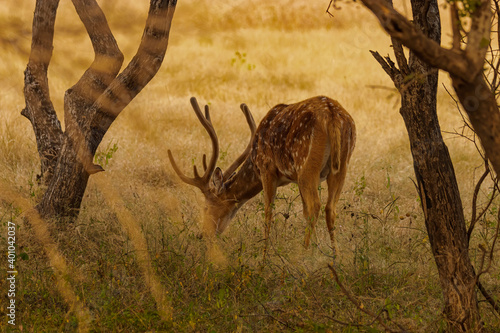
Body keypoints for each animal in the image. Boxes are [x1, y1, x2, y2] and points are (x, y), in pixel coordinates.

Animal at [168, 96, 356, 254]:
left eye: (206, 207)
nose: (202, 235)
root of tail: (332, 116)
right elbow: (302, 210)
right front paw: (317, 249)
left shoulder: (267, 169)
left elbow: (268, 212)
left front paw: (264, 258)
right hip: (341, 165)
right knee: (329, 208)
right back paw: (335, 257)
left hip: (306, 165)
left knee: (315, 206)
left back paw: (304, 254)